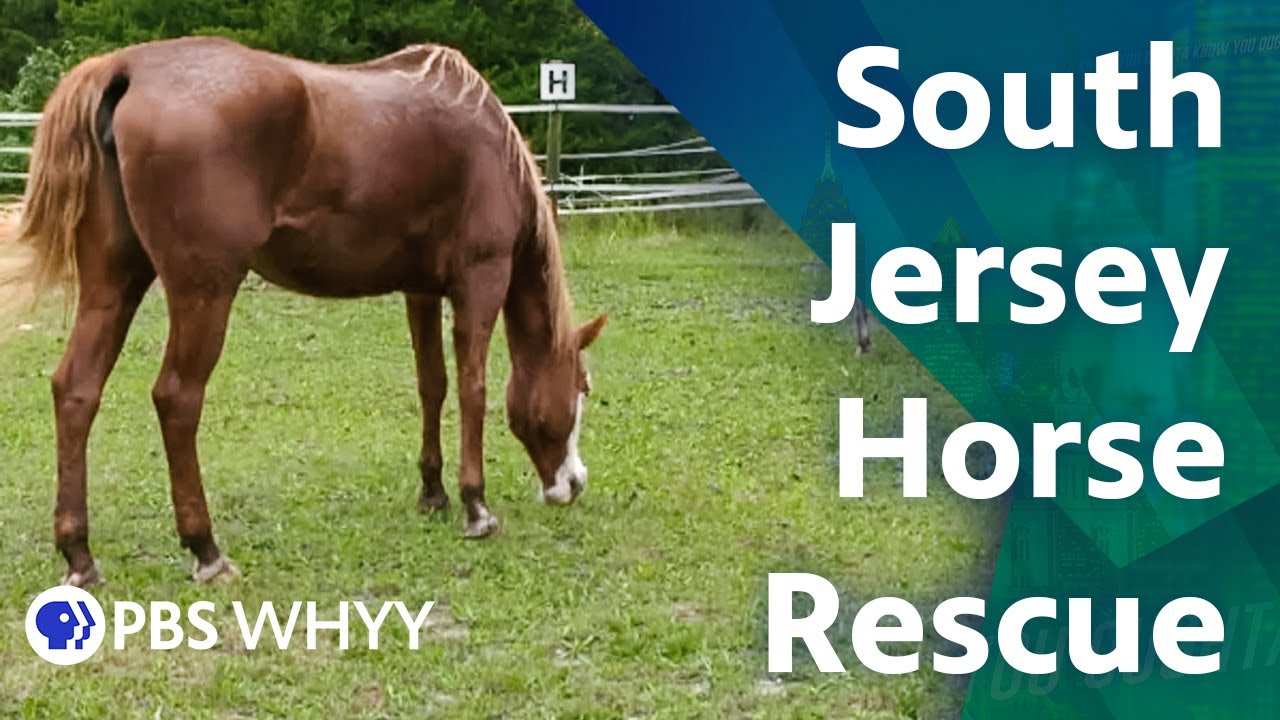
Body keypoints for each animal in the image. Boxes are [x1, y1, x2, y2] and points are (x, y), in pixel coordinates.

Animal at [0, 36, 607, 587]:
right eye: (581, 388)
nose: (572, 484)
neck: (485, 140)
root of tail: (125, 68)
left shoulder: (420, 290)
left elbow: (430, 385)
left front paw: (432, 493)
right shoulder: (481, 278)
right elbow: (473, 388)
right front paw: (475, 505)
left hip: (115, 283)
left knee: (77, 389)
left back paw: (79, 553)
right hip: (204, 291)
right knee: (176, 398)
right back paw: (205, 548)